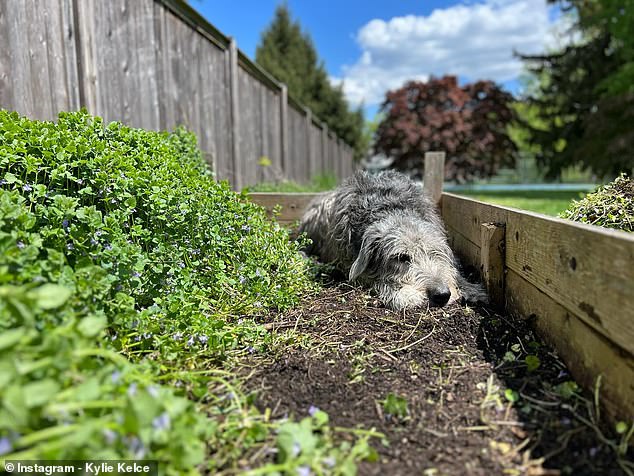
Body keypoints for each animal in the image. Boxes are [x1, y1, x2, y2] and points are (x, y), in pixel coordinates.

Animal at [296, 169, 484, 310]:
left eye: (434, 253)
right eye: (401, 258)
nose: (442, 295)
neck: (392, 208)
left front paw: (471, 289)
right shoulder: (350, 262)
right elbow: (373, 278)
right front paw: (404, 294)